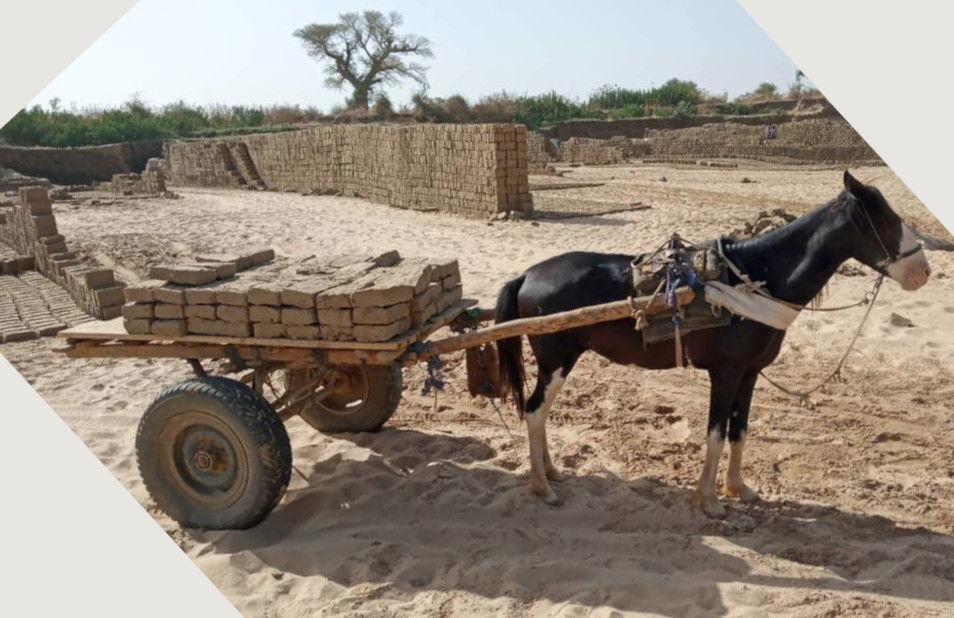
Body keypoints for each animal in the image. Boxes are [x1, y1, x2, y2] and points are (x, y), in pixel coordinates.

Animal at [494, 171, 931, 517]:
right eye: (885, 219)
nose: (923, 272)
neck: (752, 280)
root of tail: (529, 273)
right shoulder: (726, 372)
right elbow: (716, 433)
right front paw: (708, 501)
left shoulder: (750, 373)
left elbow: (740, 431)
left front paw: (738, 488)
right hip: (556, 360)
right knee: (534, 411)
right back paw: (541, 486)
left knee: (539, 413)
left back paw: (551, 472)